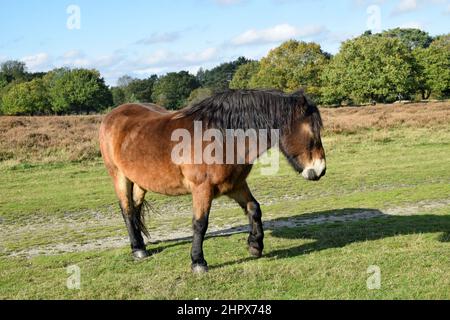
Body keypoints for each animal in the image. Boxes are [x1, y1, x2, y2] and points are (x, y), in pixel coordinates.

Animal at [100, 89, 326, 272]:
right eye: (311, 131)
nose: (320, 169)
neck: (223, 138)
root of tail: (111, 116)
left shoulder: (235, 185)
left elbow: (254, 208)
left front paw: (255, 245)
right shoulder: (203, 189)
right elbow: (200, 223)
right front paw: (198, 262)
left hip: (140, 181)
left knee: (136, 209)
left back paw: (141, 244)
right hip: (119, 176)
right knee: (127, 210)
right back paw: (138, 249)